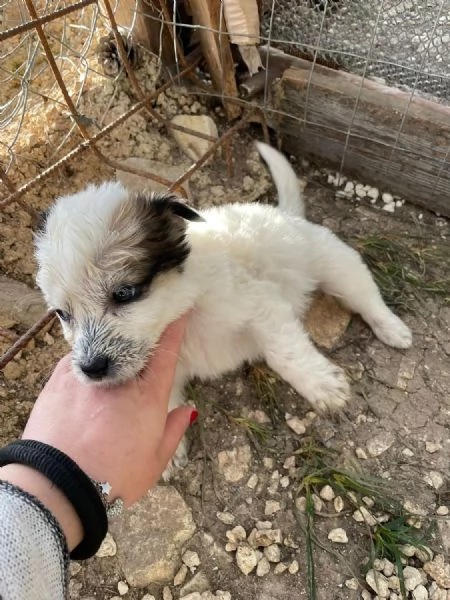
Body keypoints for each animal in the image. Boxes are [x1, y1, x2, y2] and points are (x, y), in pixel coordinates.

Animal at [35, 143, 412, 476]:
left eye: (124, 293)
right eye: (62, 314)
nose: (91, 369)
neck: (186, 311)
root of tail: (284, 214)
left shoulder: (262, 307)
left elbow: (285, 354)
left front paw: (321, 386)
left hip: (336, 265)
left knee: (366, 295)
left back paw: (392, 329)